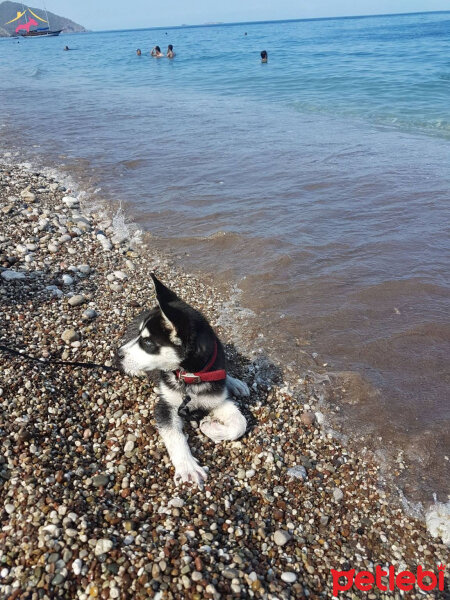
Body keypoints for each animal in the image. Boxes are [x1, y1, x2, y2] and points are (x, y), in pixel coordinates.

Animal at [116, 274, 250, 490]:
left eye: (148, 343)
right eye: (142, 339)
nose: (117, 353)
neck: (192, 377)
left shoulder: (215, 398)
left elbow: (240, 423)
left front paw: (210, 427)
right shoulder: (166, 405)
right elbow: (174, 436)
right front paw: (188, 467)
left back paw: (234, 382)